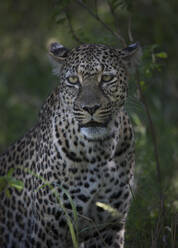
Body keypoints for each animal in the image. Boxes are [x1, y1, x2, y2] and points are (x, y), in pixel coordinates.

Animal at [0, 41, 140, 247]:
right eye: (73, 80)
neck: (100, 152)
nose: (90, 108)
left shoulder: (109, 226)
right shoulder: (48, 231)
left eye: (107, 78)